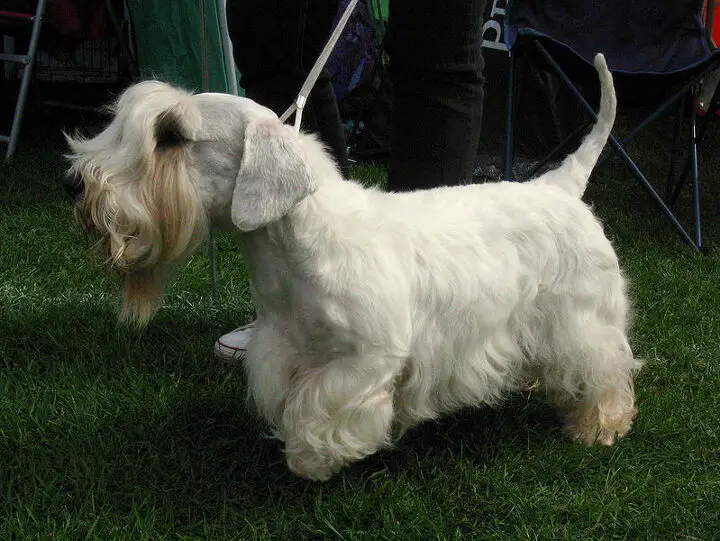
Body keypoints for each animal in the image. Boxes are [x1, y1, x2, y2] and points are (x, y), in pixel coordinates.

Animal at [67, 54, 640, 480]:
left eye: (171, 135)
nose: (74, 185)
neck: (295, 247)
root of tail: (560, 185)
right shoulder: (283, 347)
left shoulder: (367, 359)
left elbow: (321, 409)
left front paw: (312, 458)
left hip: (584, 319)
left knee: (605, 368)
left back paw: (599, 425)